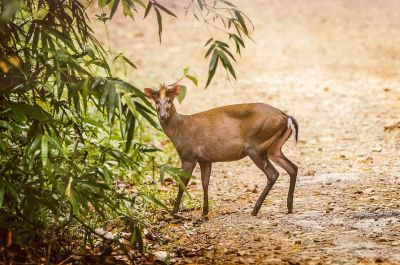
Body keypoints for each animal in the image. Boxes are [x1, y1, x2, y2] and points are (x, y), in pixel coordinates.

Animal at [143, 83, 296, 216]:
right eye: (156, 101)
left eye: (169, 100)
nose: (162, 116)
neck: (180, 129)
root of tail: (286, 116)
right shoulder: (205, 159)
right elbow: (205, 182)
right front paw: (205, 211)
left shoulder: (188, 156)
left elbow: (182, 182)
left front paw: (174, 211)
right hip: (274, 148)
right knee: (292, 167)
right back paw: (289, 207)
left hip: (256, 147)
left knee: (273, 173)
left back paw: (255, 209)